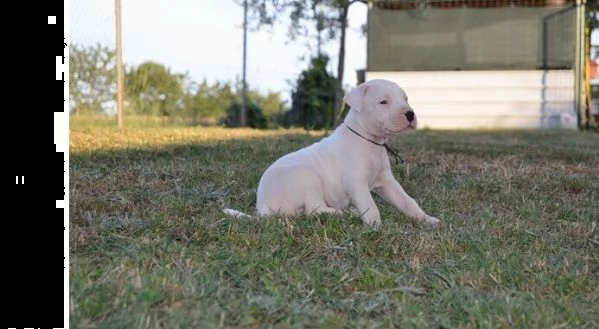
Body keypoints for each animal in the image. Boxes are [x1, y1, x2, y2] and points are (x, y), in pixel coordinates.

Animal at [224, 79, 440, 228]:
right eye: (383, 102)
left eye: (405, 99)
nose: (410, 114)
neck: (369, 141)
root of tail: (261, 203)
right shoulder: (357, 184)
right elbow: (370, 205)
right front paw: (376, 227)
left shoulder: (387, 182)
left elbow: (407, 201)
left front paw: (427, 219)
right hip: (306, 177)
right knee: (314, 209)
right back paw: (346, 214)